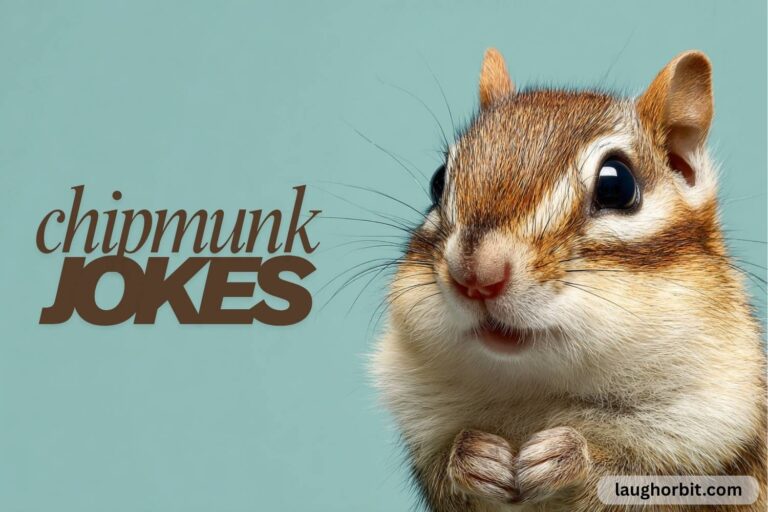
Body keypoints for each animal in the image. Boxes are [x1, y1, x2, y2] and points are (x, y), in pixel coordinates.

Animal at [372, 49, 766, 511]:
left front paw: (566, 454)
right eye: (437, 181)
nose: (477, 275)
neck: (537, 393)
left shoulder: (707, 438)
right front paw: (473, 457)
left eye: (617, 185)